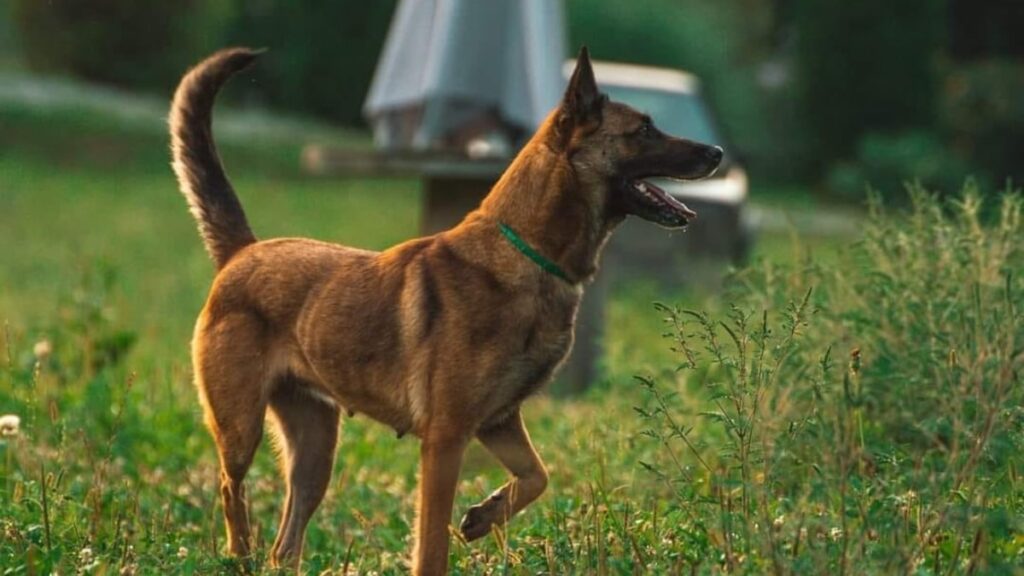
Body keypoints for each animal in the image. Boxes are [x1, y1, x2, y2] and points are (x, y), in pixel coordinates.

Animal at [169, 45, 720, 573]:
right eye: (644, 129)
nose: (716, 152)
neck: (528, 255)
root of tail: (243, 252)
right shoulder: (446, 438)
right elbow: (432, 545)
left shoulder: (498, 420)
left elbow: (537, 475)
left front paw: (485, 515)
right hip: (241, 427)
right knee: (231, 490)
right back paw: (237, 556)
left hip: (315, 449)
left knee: (285, 544)